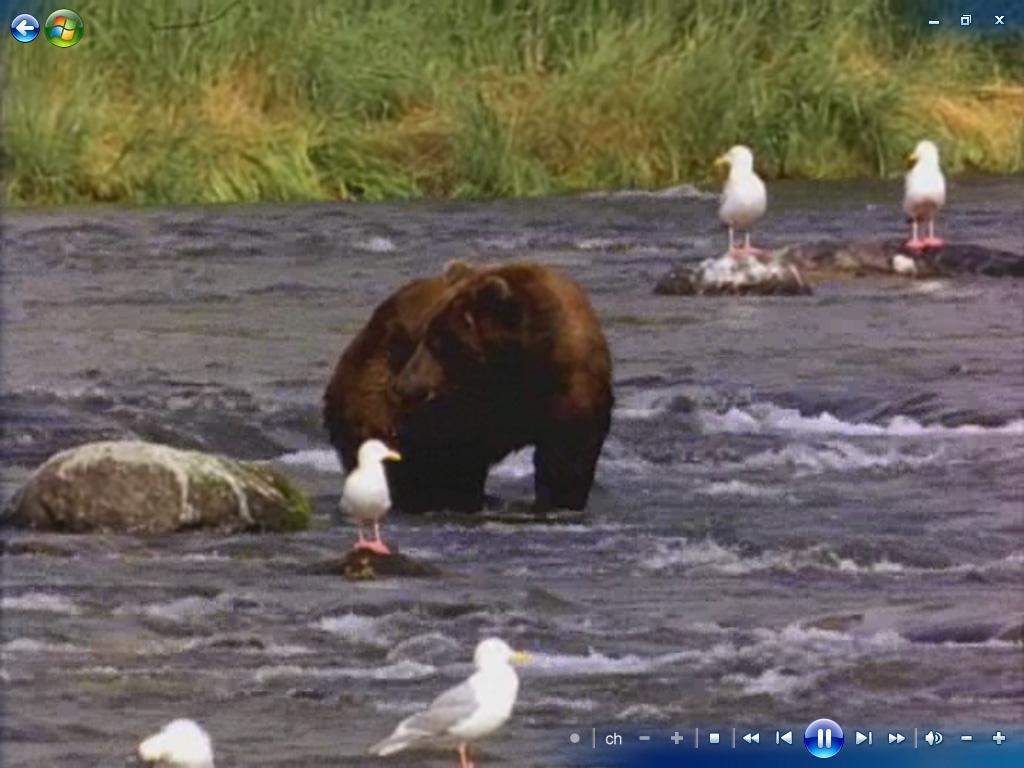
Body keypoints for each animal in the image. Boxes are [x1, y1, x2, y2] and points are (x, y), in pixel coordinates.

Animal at [321, 262, 606, 514]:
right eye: (426, 334)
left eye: (440, 341)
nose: (404, 385)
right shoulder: (454, 413)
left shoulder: (570, 395)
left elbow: (566, 462)